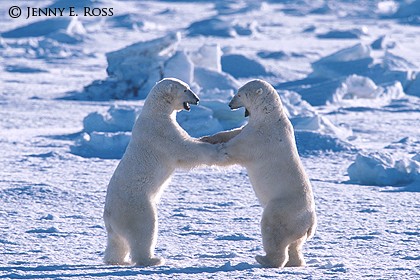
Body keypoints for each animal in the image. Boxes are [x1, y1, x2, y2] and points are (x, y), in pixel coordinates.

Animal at [102, 77, 223, 266]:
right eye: (186, 89)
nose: (197, 99)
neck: (155, 112)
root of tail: (109, 217)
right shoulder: (161, 132)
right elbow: (185, 150)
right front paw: (218, 149)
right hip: (136, 206)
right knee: (144, 230)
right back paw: (152, 259)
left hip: (117, 225)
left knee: (117, 242)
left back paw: (116, 260)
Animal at [202, 80, 316, 268]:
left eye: (239, 94)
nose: (230, 104)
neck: (269, 117)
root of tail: (309, 224)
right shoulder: (251, 127)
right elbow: (232, 132)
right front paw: (206, 138)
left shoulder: (259, 138)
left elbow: (234, 149)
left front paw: (214, 149)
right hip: (297, 227)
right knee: (295, 245)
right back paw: (295, 262)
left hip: (283, 210)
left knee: (273, 232)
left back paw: (265, 259)